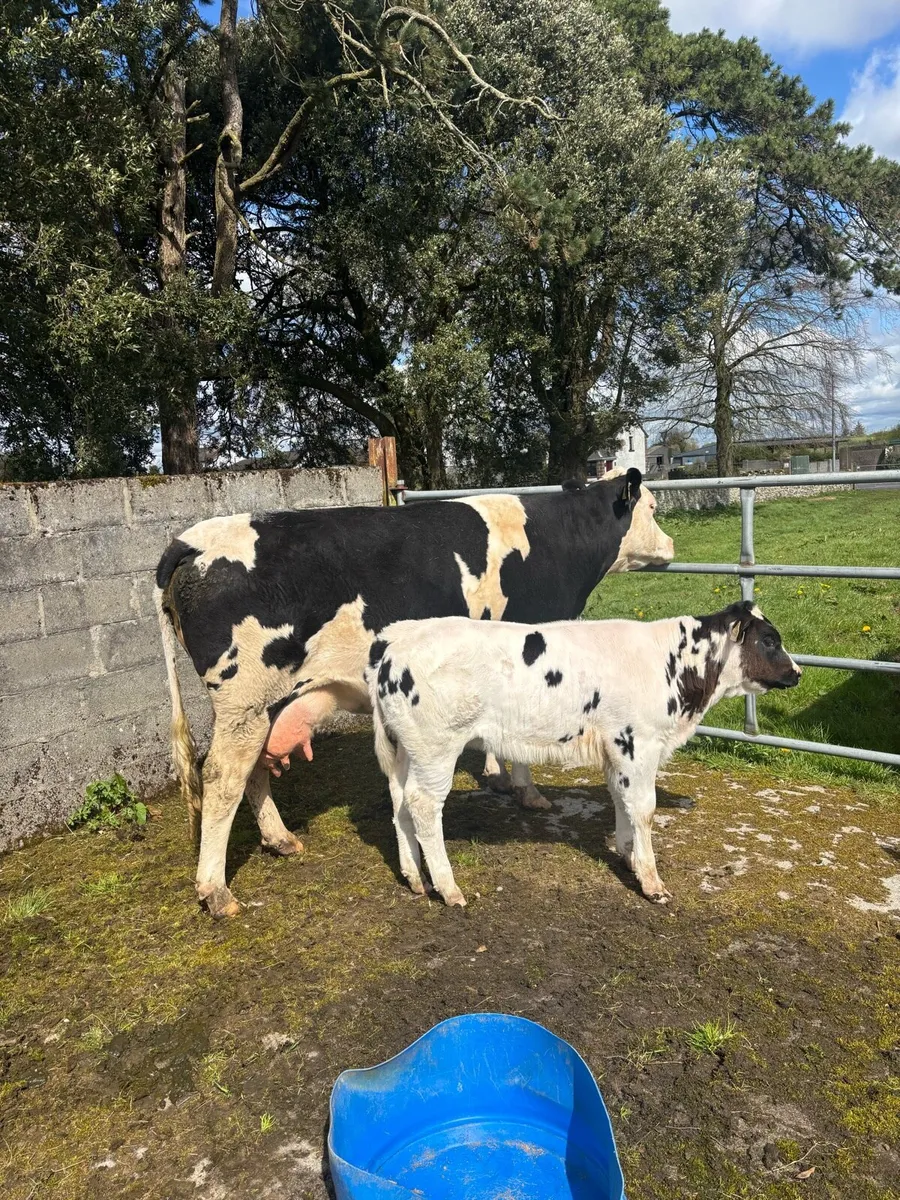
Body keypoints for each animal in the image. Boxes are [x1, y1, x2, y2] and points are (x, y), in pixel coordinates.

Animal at [154, 468, 674, 917]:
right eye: (652, 505)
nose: (670, 544)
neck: (553, 539)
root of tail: (191, 540)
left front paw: (499, 774)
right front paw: (526, 790)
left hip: (262, 705)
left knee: (253, 769)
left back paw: (279, 839)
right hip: (244, 698)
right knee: (222, 776)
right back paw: (216, 891)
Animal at [367, 601, 801, 907]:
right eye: (769, 639)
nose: (797, 672)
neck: (671, 665)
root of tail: (395, 640)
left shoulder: (617, 749)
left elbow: (621, 801)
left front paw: (627, 856)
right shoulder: (637, 742)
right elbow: (643, 808)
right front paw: (651, 882)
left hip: (408, 749)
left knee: (400, 801)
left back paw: (414, 878)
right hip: (437, 747)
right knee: (424, 806)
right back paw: (448, 887)